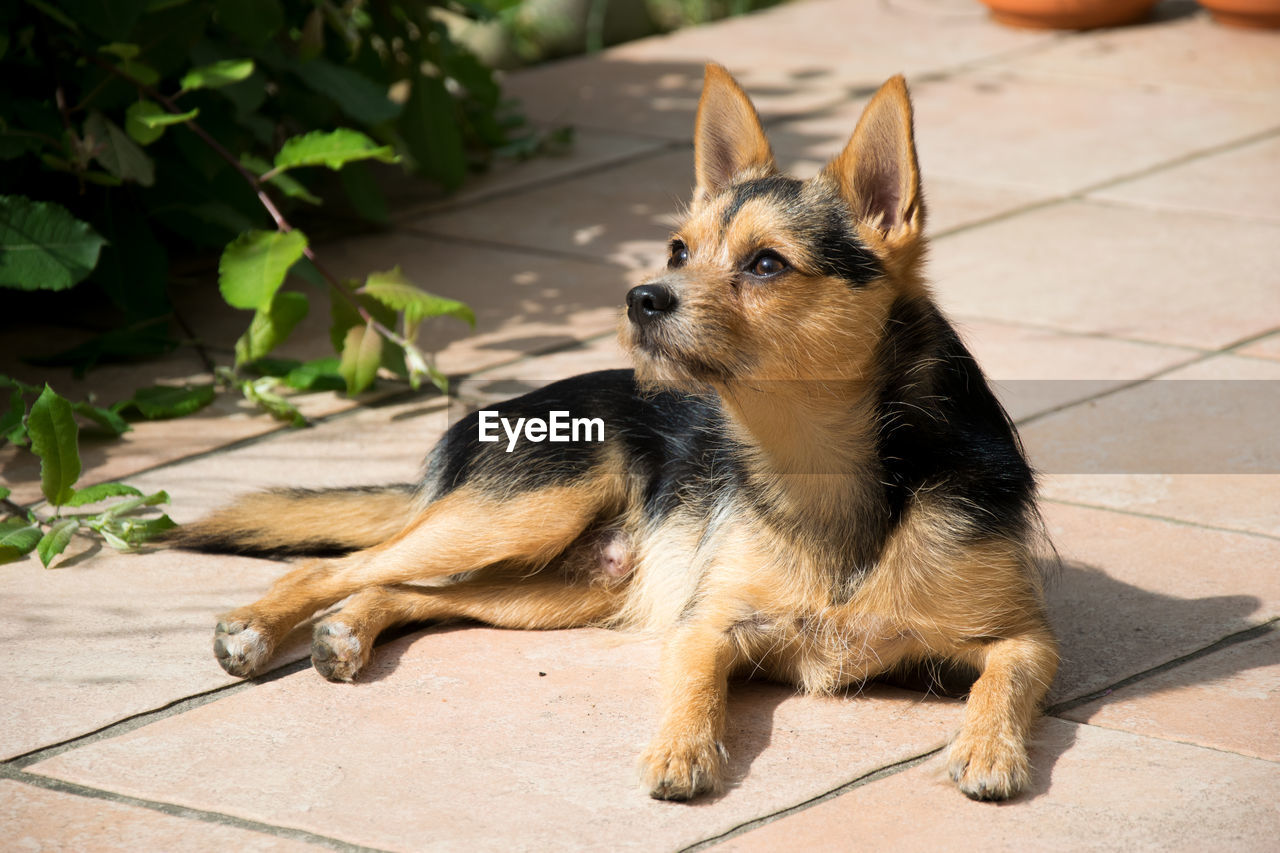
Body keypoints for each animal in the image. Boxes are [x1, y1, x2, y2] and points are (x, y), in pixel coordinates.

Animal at [177, 64, 1059, 799]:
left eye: (766, 264)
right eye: (678, 251)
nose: (643, 296)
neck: (817, 462)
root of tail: (482, 420)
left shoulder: (1025, 636)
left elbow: (1003, 681)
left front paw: (988, 748)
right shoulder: (705, 626)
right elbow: (694, 687)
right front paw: (680, 748)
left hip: (556, 590)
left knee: (405, 589)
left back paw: (346, 632)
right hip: (520, 515)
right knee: (343, 563)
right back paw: (256, 626)